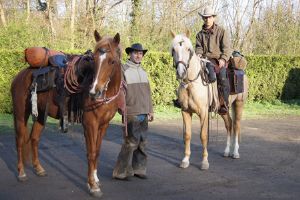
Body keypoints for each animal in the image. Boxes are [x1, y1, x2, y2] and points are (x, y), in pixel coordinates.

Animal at [11, 30, 122, 198]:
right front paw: (92, 185)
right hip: (20, 114)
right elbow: (90, 153)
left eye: (112, 61)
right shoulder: (90, 124)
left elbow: (97, 152)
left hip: (41, 115)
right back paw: (22, 173)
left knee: (34, 139)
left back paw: (39, 169)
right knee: (19, 141)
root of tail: (21, 75)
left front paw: (95, 179)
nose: (94, 92)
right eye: (94, 60)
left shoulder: (104, 125)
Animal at [171, 32, 248, 170]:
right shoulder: (185, 112)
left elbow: (203, 136)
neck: (191, 83)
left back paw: (235, 152)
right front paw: (185, 160)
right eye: (173, 50)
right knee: (229, 124)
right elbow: (187, 135)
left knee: (237, 125)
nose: (181, 72)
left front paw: (204, 162)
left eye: (188, 49)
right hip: (223, 109)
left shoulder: (203, 113)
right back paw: (227, 151)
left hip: (239, 104)